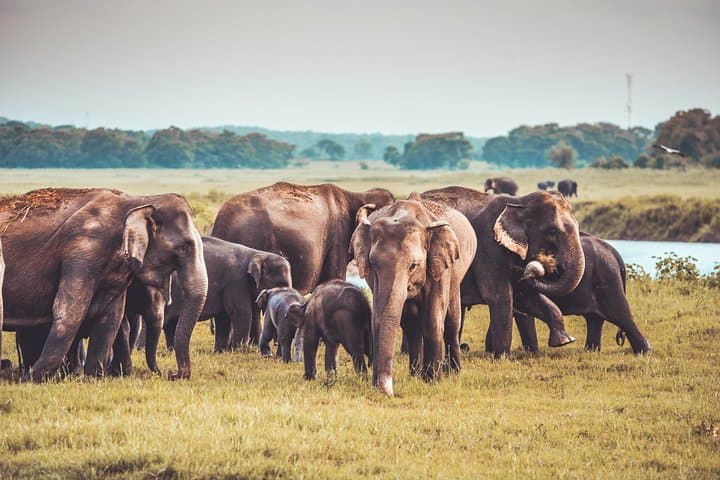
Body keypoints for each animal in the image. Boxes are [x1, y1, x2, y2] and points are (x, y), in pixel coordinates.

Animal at [0, 188, 207, 381]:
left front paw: (92, 378)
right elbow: (70, 311)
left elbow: (111, 317)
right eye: (185, 247)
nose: (172, 373)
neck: (138, 200)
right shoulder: (83, 250)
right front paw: (34, 379)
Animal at [350, 194, 477, 396]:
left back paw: (453, 373)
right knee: (412, 325)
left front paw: (434, 381)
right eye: (373, 264)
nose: (385, 390)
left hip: (457, 274)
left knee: (452, 320)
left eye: (413, 265)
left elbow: (433, 319)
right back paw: (416, 375)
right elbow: (390, 318)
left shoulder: (439, 266)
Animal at [420, 186, 585, 356]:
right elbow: (500, 296)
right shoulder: (489, 247)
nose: (528, 271)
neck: (519, 202)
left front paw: (565, 341)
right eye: (552, 231)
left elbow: (525, 295)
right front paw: (501, 356)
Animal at [510, 233, 650, 354]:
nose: (526, 272)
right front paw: (532, 353)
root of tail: (613, 251)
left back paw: (644, 352)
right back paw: (591, 352)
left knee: (620, 315)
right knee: (595, 319)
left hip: (608, 278)